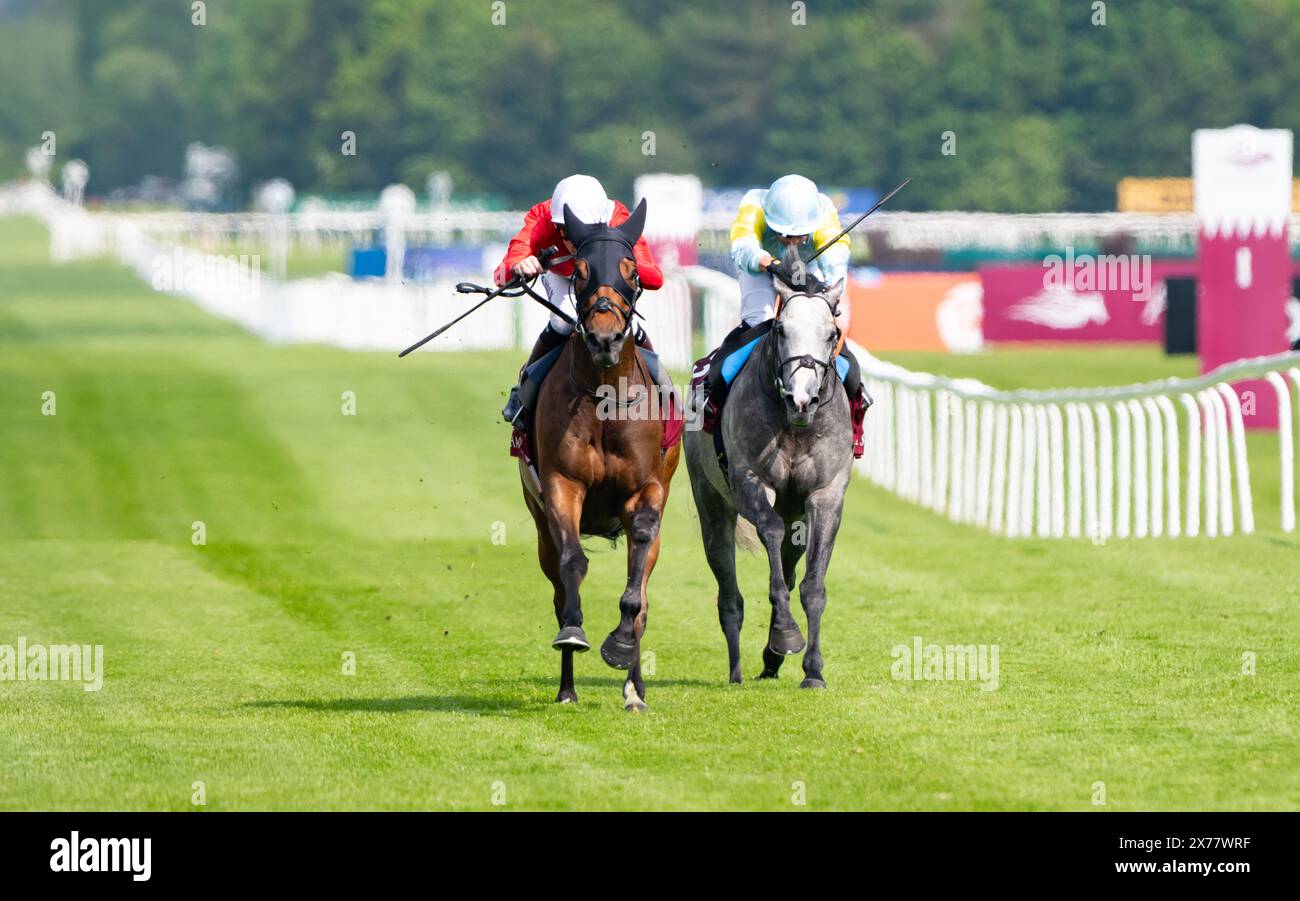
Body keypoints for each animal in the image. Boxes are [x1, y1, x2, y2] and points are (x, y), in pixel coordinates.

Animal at [517, 196, 681, 712]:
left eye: (631, 270)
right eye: (580, 270)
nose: (605, 339)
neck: (606, 398)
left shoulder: (647, 490)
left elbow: (636, 588)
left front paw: (622, 647)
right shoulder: (561, 485)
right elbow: (573, 565)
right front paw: (574, 634)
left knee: (643, 590)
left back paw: (635, 689)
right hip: (539, 528)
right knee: (557, 584)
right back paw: (567, 688)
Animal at [681, 263, 852, 686]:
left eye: (831, 333)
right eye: (781, 330)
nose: (801, 398)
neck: (795, 426)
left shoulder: (826, 495)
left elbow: (813, 586)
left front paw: (812, 669)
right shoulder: (749, 481)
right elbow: (769, 531)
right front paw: (787, 635)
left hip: (797, 517)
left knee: (790, 565)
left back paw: (771, 658)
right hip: (710, 499)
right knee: (729, 589)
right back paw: (737, 669)